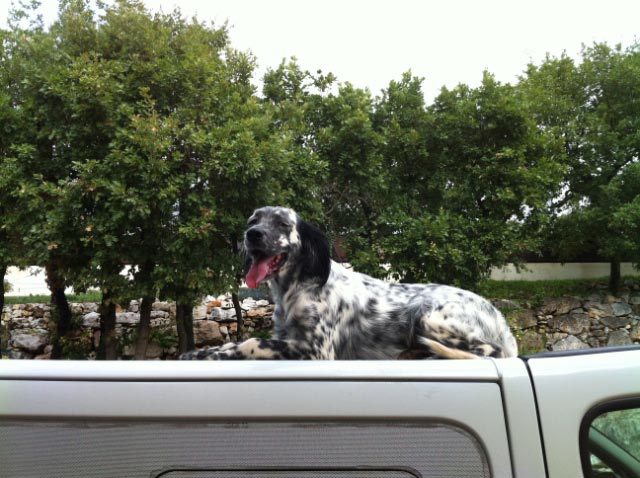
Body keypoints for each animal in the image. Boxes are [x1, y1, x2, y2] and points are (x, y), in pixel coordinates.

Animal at [178, 207, 516, 360]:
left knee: (490, 351)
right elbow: (234, 342)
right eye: (253, 221)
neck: (297, 288)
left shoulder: (317, 350)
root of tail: (499, 317)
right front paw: (201, 353)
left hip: (427, 316)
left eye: (283, 223)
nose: (251, 235)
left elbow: (250, 342)